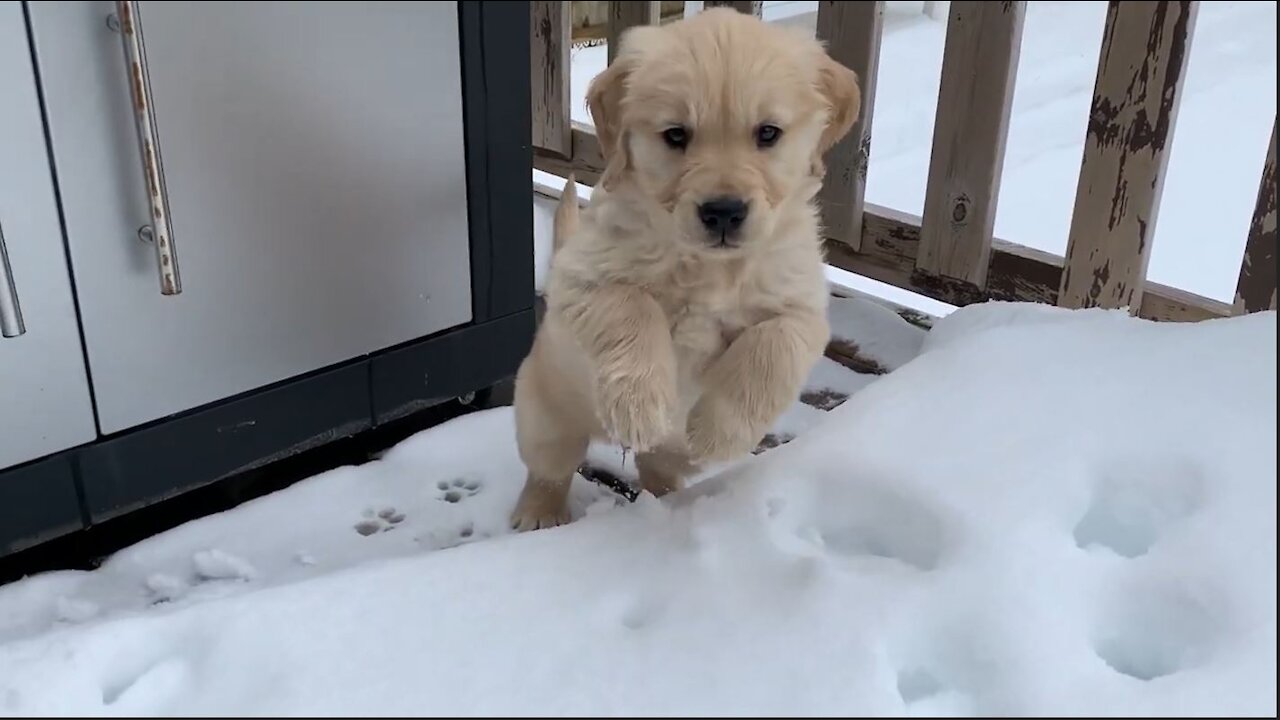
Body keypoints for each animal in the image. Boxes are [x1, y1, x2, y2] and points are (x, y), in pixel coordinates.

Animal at [509, 8, 860, 530]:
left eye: (768, 133)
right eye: (676, 135)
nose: (724, 212)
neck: (711, 267)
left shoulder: (801, 307)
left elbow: (773, 346)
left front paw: (719, 431)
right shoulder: (584, 277)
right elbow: (631, 307)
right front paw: (640, 408)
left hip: (672, 456)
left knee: (661, 469)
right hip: (545, 416)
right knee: (550, 469)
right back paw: (538, 514)